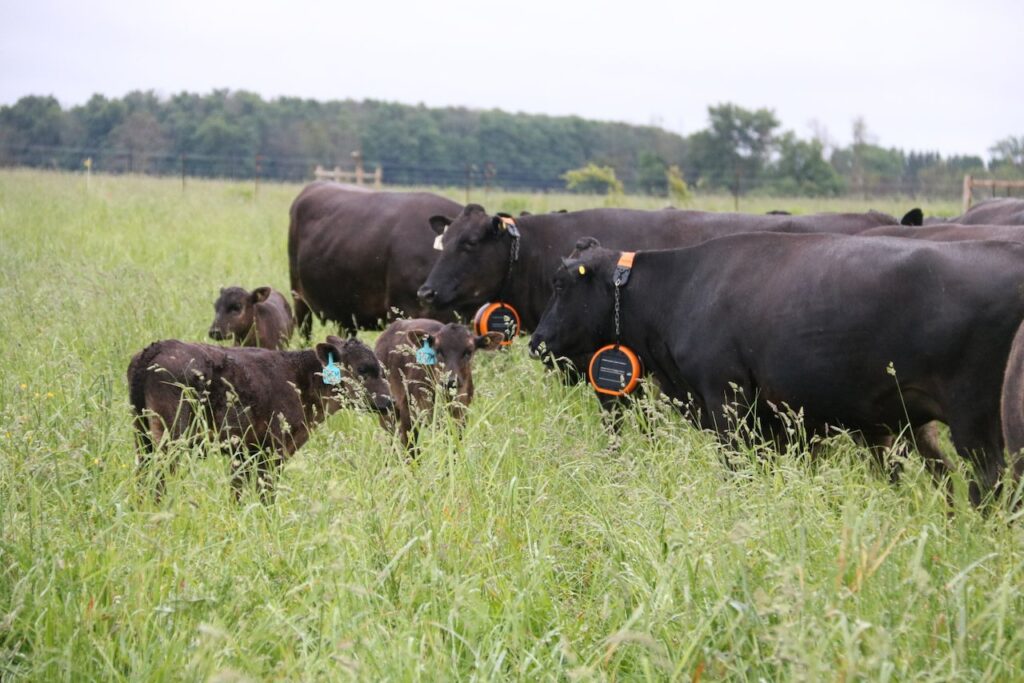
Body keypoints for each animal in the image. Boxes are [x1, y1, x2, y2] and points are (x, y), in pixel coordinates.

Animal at [127, 335, 392, 501]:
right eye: (362, 369)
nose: (388, 402)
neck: (300, 379)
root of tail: (155, 349)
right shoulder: (274, 449)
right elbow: (266, 494)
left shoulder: (245, 452)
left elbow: (237, 493)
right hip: (171, 438)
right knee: (158, 477)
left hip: (143, 435)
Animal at [374, 319, 503, 448]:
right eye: (438, 350)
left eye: (469, 351)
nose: (450, 380)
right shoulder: (408, 412)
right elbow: (411, 447)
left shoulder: (460, 416)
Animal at [529, 234, 1024, 505]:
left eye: (560, 284)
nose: (536, 343)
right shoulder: (780, 421)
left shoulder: (726, 401)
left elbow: (736, 470)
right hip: (918, 421)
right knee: (947, 478)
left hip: (976, 419)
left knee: (989, 483)